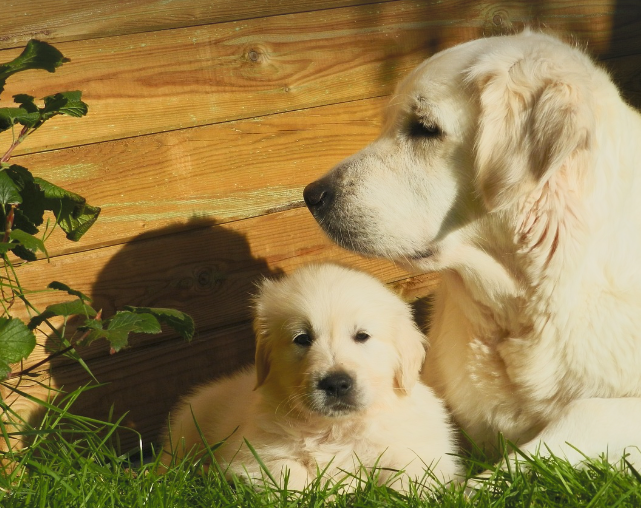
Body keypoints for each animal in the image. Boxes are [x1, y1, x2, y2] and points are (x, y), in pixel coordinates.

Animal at [162, 264, 458, 490]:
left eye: (362, 336)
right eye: (302, 338)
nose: (336, 384)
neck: (335, 429)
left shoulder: (427, 456)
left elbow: (406, 479)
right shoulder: (253, 455)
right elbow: (289, 475)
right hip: (188, 426)